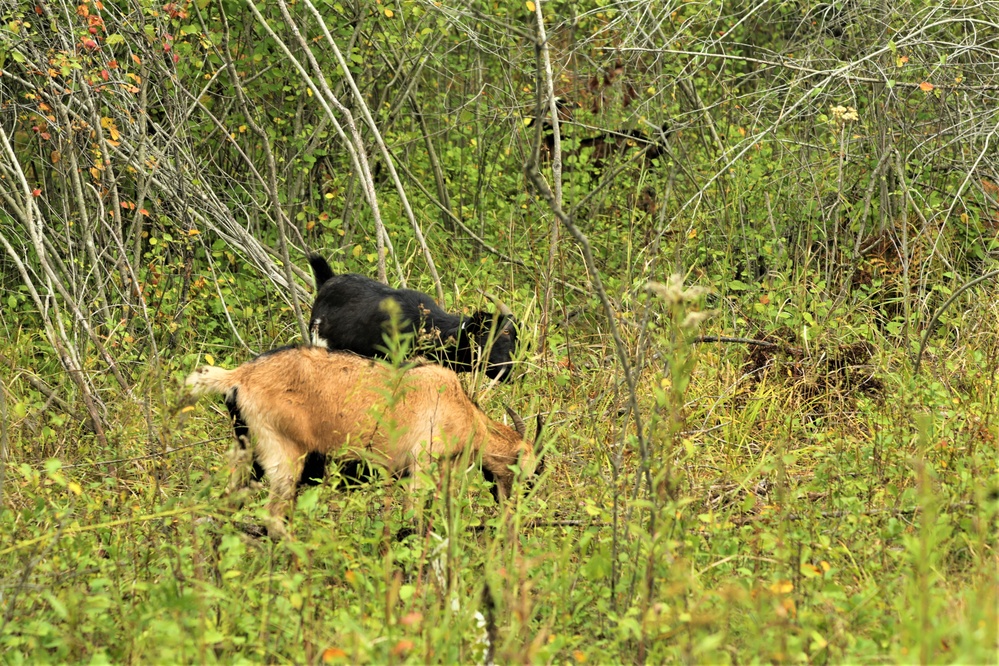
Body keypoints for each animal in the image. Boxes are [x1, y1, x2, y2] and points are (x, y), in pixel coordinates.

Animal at [186, 344, 540, 536]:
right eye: (526, 472)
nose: (512, 510)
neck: (463, 412)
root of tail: (238, 377)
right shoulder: (421, 465)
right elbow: (414, 518)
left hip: (245, 452)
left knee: (227, 503)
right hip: (284, 451)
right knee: (273, 515)